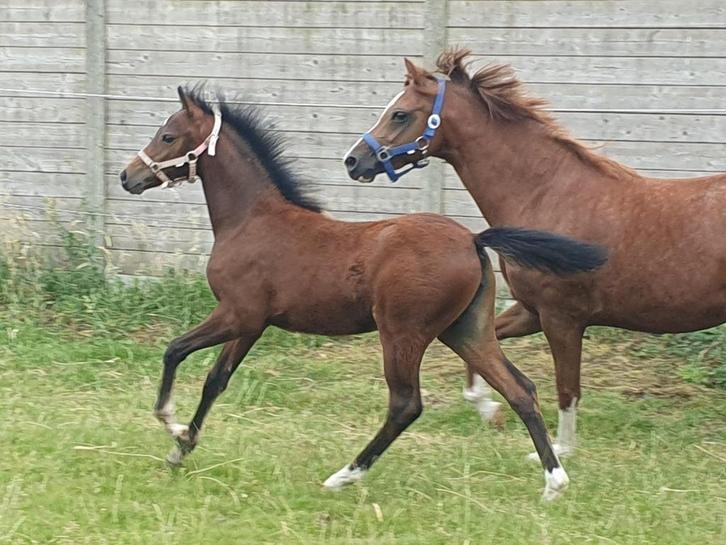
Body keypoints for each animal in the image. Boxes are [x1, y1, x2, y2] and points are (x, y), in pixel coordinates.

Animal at [119, 86, 606, 499]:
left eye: (167, 135)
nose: (128, 176)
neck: (250, 219)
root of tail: (473, 239)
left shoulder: (238, 314)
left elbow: (174, 350)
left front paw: (169, 422)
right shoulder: (252, 325)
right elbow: (215, 380)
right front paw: (180, 448)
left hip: (403, 332)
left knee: (406, 404)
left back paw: (343, 476)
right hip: (465, 330)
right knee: (520, 389)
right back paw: (554, 483)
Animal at [343, 47, 726, 459]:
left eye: (400, 113)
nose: (353, 161)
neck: (546, 195)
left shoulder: (563, 318)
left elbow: (567, 388)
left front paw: (560, 451)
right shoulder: (531, 311)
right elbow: (483, 350)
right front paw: (489, 410)